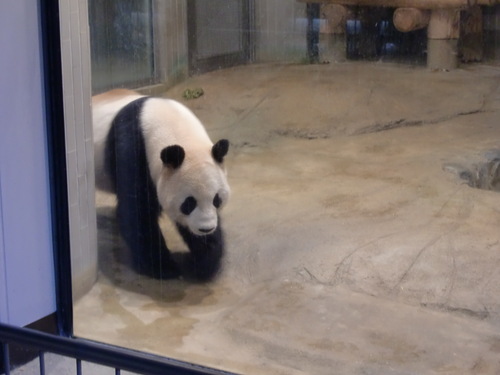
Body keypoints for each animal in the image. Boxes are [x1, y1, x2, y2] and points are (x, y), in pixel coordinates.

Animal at [92, 89, 230, 280]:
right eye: (188, 203)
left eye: (217, 200)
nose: (205, 229)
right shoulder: (131, 150)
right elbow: (137, 213)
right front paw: (164, 268)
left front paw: (203, 262)